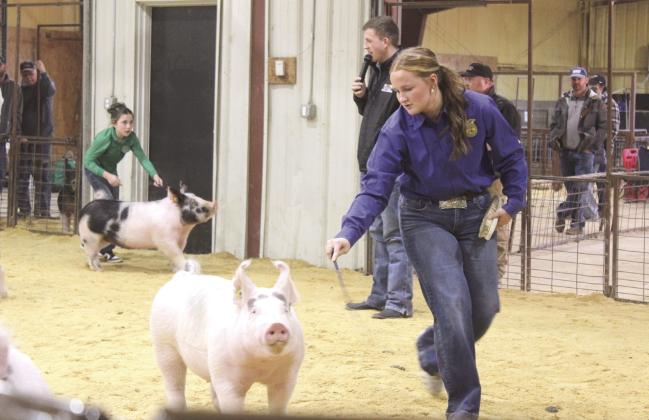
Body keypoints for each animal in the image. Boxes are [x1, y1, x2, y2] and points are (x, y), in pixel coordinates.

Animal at [78, 184, 217, 271]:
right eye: (193, 203)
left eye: (197, 196)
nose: (214, 203)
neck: (183, 230)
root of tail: (84, 210)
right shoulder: (164, 240)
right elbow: (177, 255)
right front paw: (184, 268)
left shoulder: (181, 241)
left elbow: (176, 255)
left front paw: (175, 270)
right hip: (90, 237)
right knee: (90, 254)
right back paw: (97, 270)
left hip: (103, 239)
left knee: (93, 253)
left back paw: (98, 267)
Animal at [150, 260, 304, 414]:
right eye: (254, 311)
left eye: (286, 310)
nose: (277, 325)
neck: (262, 364)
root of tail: (181, 276)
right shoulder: (227, 379)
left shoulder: (288, 376)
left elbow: (280, 402)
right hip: (163, 343)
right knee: (173, 382)